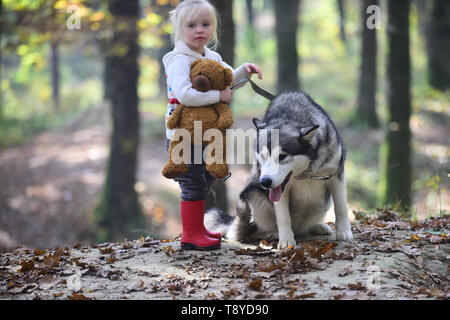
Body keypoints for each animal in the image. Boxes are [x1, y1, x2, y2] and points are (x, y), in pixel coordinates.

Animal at [206, 91, 354, 249]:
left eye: (282, 156)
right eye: (263, 156)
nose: (265, 182)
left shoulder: (336, 174)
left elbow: (341, 207)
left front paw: (344, 232)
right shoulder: (279, 190)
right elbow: (283, 217)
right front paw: (286, 240)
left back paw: (317, 226)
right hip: (252, 195)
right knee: (250, 232)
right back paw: (271, 233)